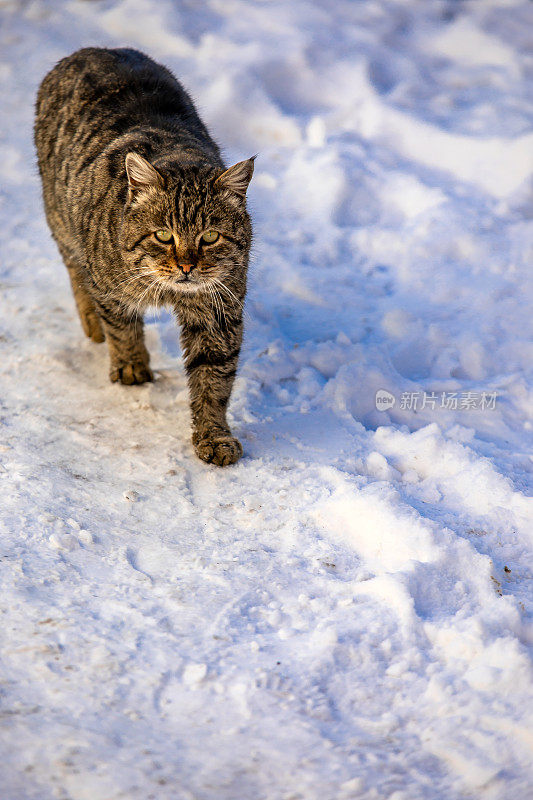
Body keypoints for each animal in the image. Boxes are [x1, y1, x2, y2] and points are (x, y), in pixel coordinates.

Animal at [33, 47, 254, 466]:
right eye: (163, 235)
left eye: (210, 237)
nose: (186, 266)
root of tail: (91, 48)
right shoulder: (109, 287)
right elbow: (122, 328)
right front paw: (131, 365)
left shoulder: (217, 308)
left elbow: (213, 378)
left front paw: (213, 435)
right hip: (61, 222)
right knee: (76, 273)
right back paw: (93, 325)